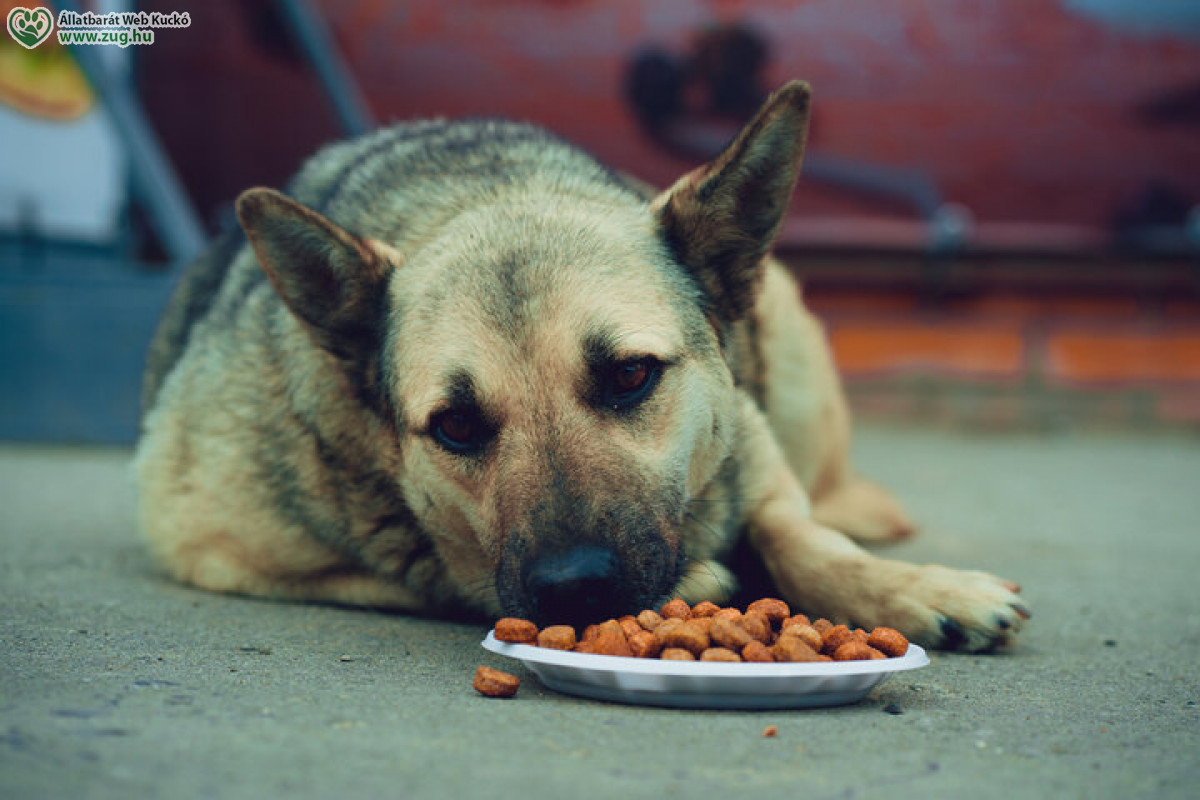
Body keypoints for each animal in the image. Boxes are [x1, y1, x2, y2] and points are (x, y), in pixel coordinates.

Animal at [136, 82, 1027, 652]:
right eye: (455, 425)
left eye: (631, 376)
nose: (575, 589)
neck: (479, 196)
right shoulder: (205, 538)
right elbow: (435, 574)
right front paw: (709, 578)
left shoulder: (756, 453)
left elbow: (800, 535)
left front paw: (918, 589)